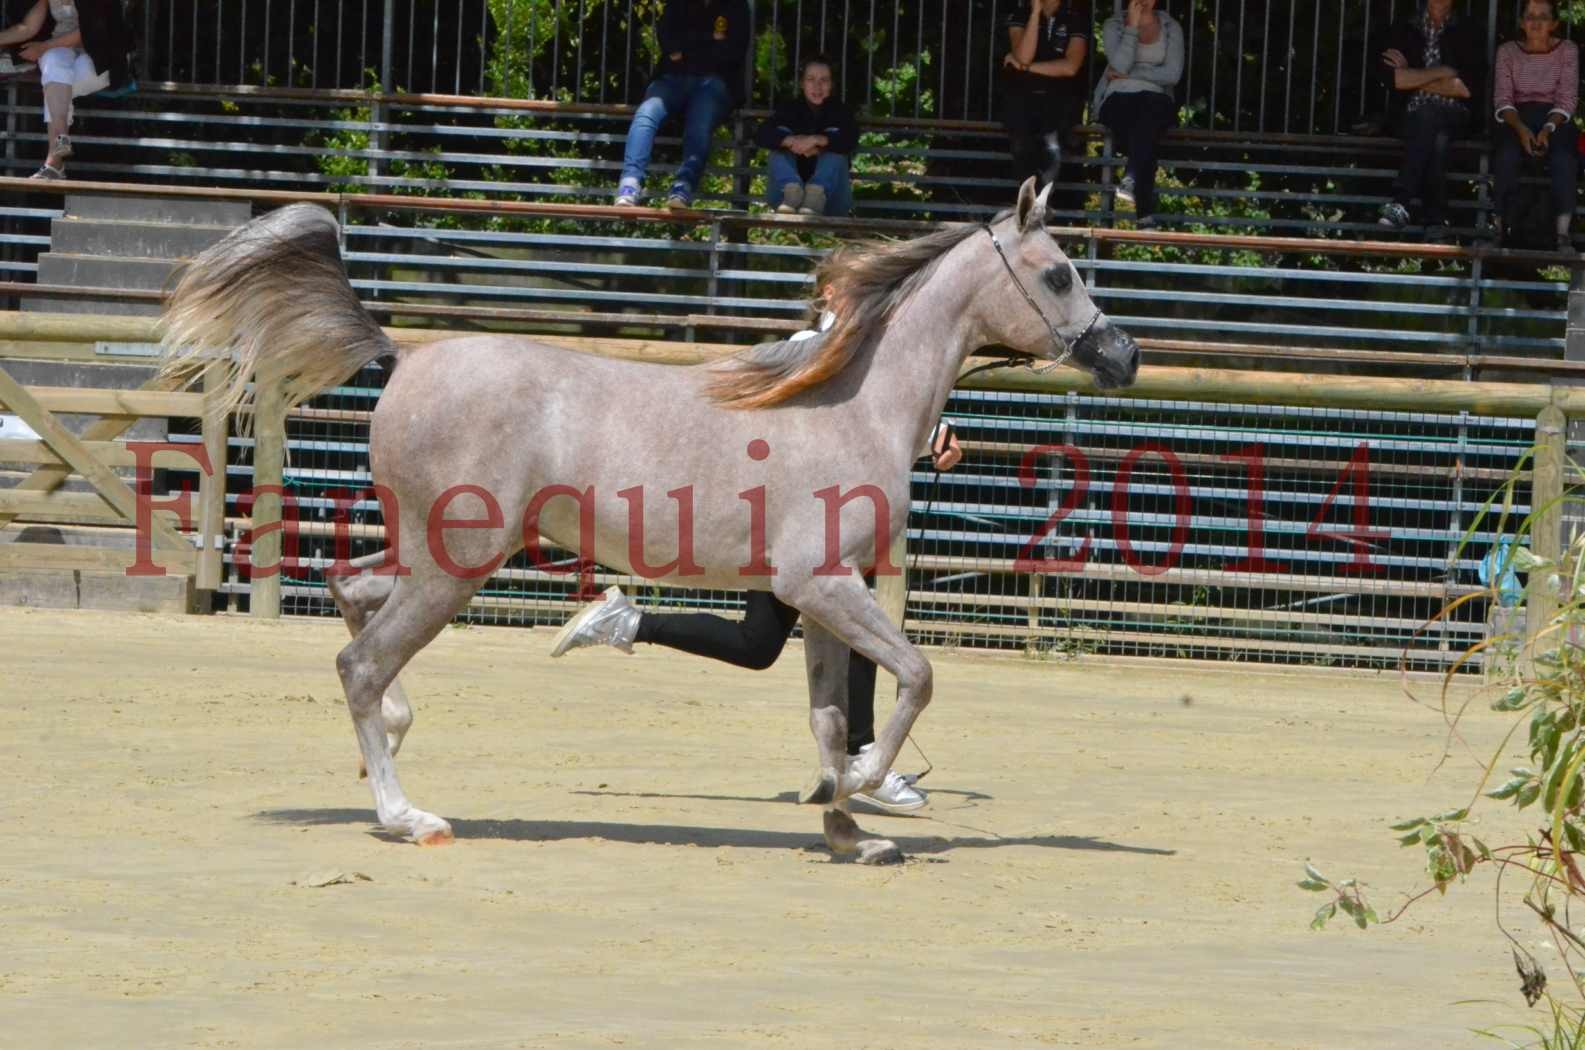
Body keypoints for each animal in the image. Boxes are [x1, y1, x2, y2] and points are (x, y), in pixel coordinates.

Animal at [160, 180, 1141, 869]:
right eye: (1058, 272)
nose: (1122, 355)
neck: (852, 404)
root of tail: (402, 355)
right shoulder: (820, 585)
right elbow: (916, 676)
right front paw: (867, 788)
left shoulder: (822, 598)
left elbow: (830, 715)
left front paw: (847, 830)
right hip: (456, 563)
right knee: (360, 662)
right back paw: (409, 817)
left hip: (433, 552)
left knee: (351, 595)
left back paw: (392, 747)